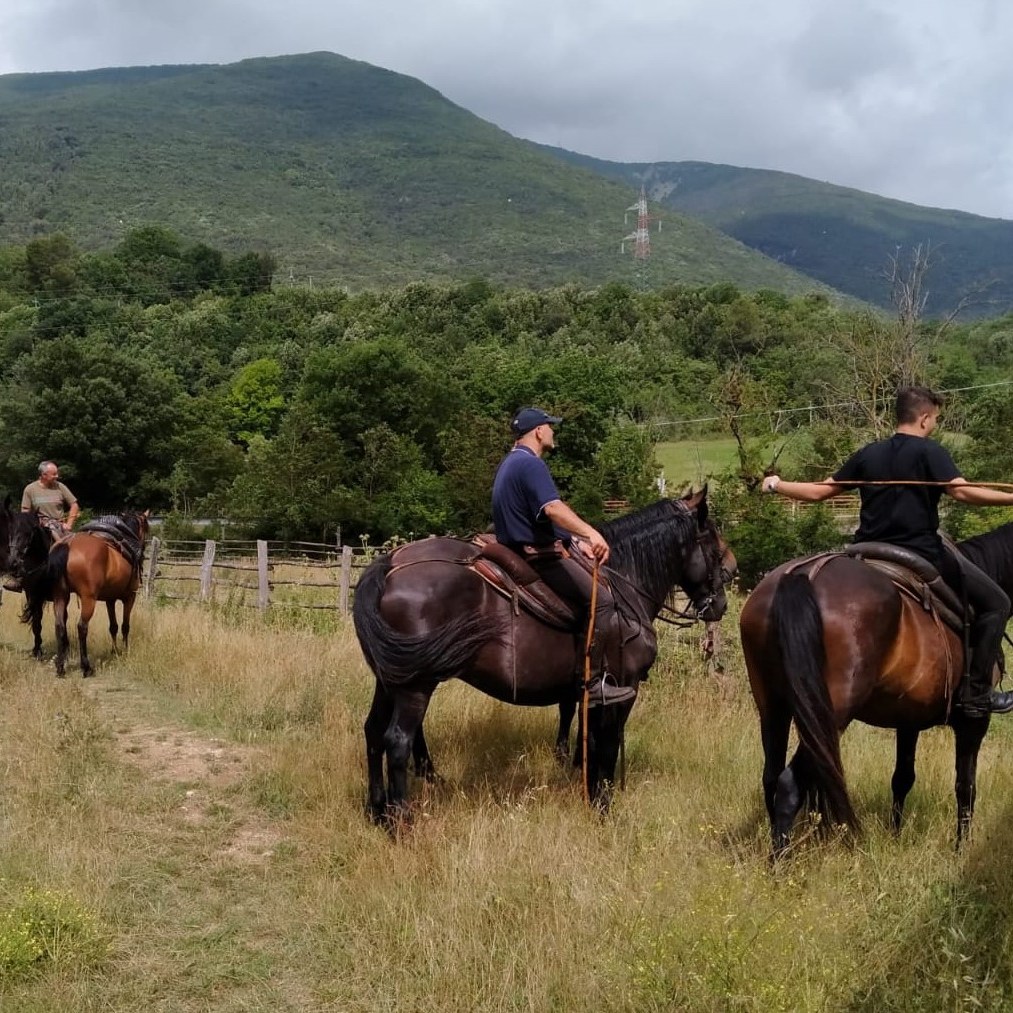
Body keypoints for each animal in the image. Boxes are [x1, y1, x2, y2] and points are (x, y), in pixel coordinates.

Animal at [47, 511, 150, 677]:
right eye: (146, 528)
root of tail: (68, 543)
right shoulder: (129, 597)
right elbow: (125, 626)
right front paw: (125, 650)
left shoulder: (110, 600)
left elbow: (113, 626)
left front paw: (114, 650)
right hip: (88, 599)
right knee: (82, 627)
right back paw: (86, 667)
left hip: (60, 596)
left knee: (59, 626)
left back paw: (61, 667)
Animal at [353, 489, 729, 824]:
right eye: (713, 546)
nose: (722, 604)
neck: (626, 586)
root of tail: (390, 565)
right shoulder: (624, 687)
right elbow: (607, 743)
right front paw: (603, 806)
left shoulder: (590, 691)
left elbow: (589, 738)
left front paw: (587, 788)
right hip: (416, 686)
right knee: (397, 740)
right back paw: (400, 821)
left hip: (391, 680)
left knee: (373, 732)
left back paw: (377, 810)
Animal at [739, 522, 1013, 857]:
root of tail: (806, 575)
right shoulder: (973, 722)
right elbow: (966, 787)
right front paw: (961, 849)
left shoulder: (909, 721)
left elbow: (902, 778)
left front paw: (895, 835)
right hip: (831, 712)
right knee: (790, 782)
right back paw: (780, 861)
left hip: (773, 708)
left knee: (772, 776)